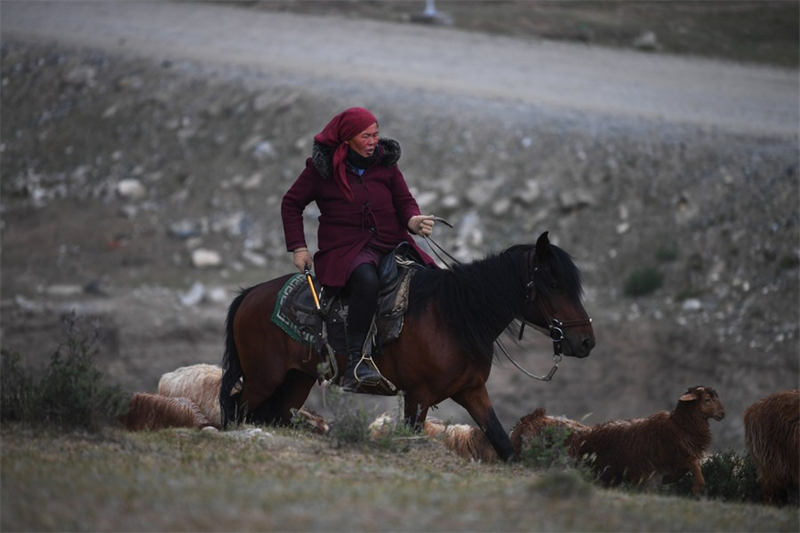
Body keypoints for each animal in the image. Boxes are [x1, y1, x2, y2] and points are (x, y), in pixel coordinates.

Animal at [219, 231, 592, 460]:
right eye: (554, 283)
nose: (587, 341)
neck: (452, 315)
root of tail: (250, 294)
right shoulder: (418, 396)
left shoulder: (472, 391)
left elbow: (503, 443)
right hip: (263, 378)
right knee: (235, 410)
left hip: (297, 380)